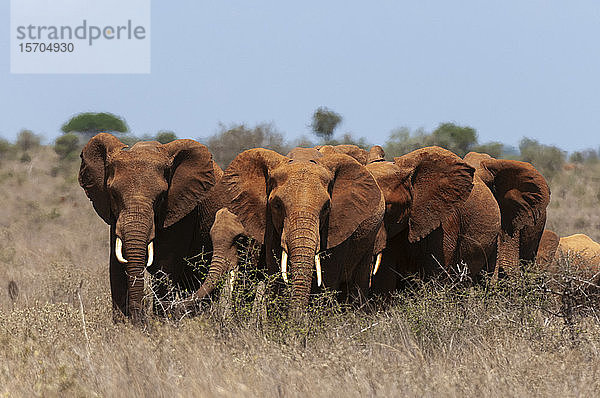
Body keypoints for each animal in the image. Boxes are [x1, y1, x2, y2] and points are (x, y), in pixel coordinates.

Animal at [78, 132, 221, 322]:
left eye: (161, 197)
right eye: (113, 194)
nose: (139, 319)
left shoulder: (181, 211)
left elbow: (164, 267)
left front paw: (160, 323)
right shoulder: (115, 217)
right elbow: (116, 265)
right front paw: (122, 326)